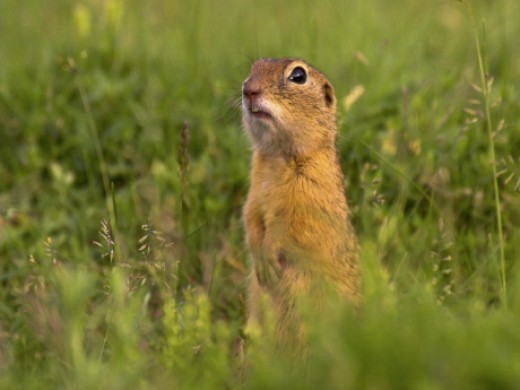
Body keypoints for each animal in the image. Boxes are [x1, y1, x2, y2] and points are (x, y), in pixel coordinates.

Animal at [242, 57, 360, 344]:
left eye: (298, 75)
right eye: (254, 66)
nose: (248, 90)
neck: (278, 157)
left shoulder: (309, 198)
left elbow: (291, 229)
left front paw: (269, 259)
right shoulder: (253, 195)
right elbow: (251, 218)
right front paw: (260, 259)